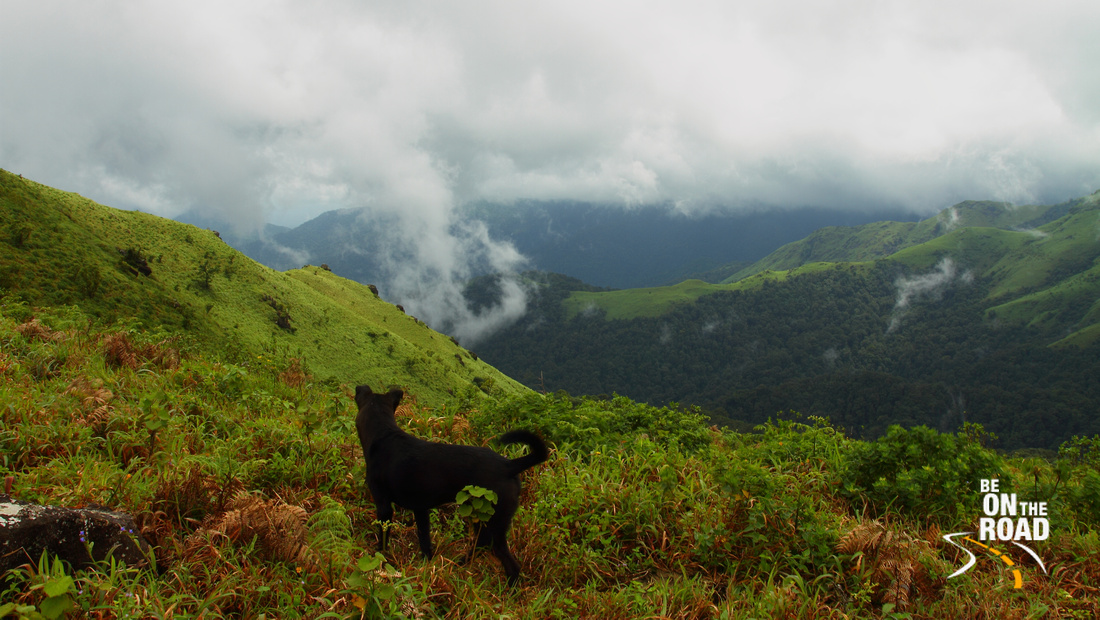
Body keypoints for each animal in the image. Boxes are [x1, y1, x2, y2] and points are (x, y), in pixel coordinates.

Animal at [354, 384, 547, 584]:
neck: (383, 433)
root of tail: (509, 465)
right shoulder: (420, 509)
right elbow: (424, 540)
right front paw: (426, 565)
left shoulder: (383, 504)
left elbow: (383, 536)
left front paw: (379, 557)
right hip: (484, 518)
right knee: (483, 544)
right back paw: (458, 564)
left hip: (494, 520)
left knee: (509, 563)